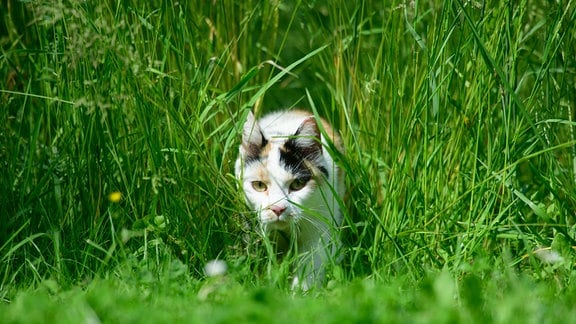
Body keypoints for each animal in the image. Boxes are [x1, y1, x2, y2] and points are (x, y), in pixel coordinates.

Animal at [235, 109, 344, 288]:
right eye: (259, 185)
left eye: (297, 184)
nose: (278, 209)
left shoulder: (319, 230)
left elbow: (310, 267)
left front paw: (299, 292)